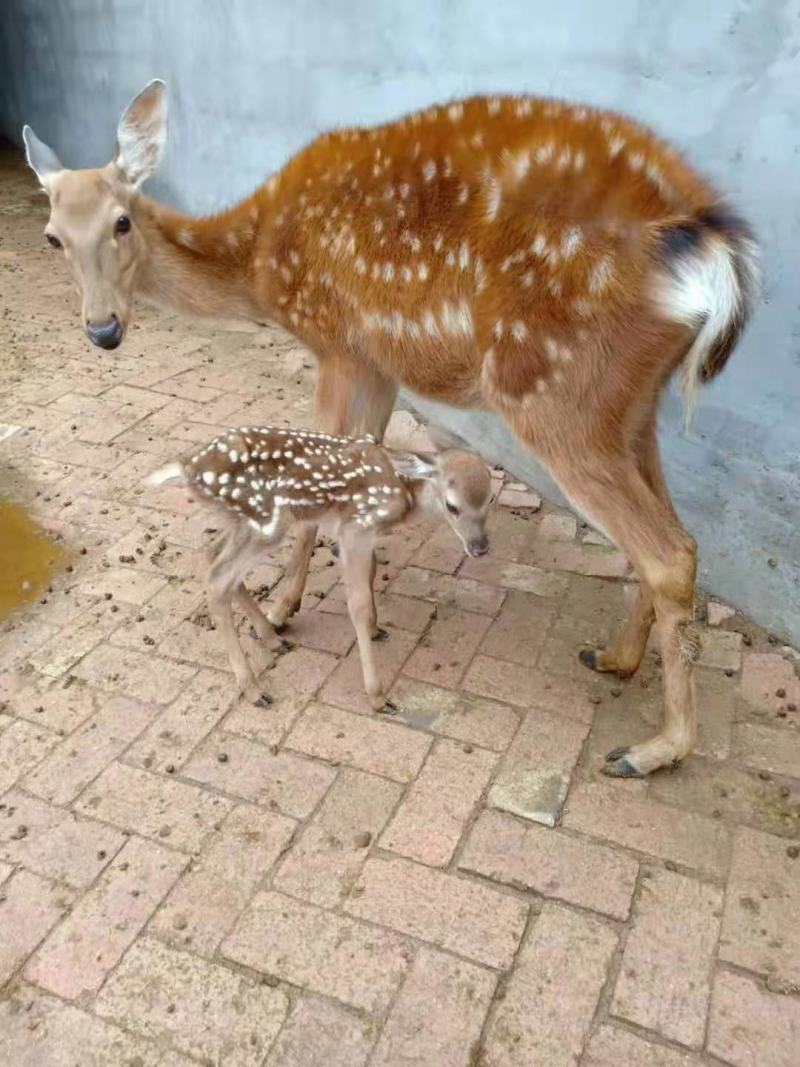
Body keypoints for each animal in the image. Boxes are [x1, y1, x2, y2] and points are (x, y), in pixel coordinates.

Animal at [147, 425, 492, 710]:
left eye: (489, 501)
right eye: (452, 506)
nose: (480, 547)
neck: (405, 491)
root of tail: (189, 467)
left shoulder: (360, 533)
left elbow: (372, 573)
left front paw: (377, 629)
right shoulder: (356, 527)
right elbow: (357, 604)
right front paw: (377, 696)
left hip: (241, 520)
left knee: (213, 555)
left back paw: (272, 639)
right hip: (268, 522)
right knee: (218, 578)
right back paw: (255, 689)